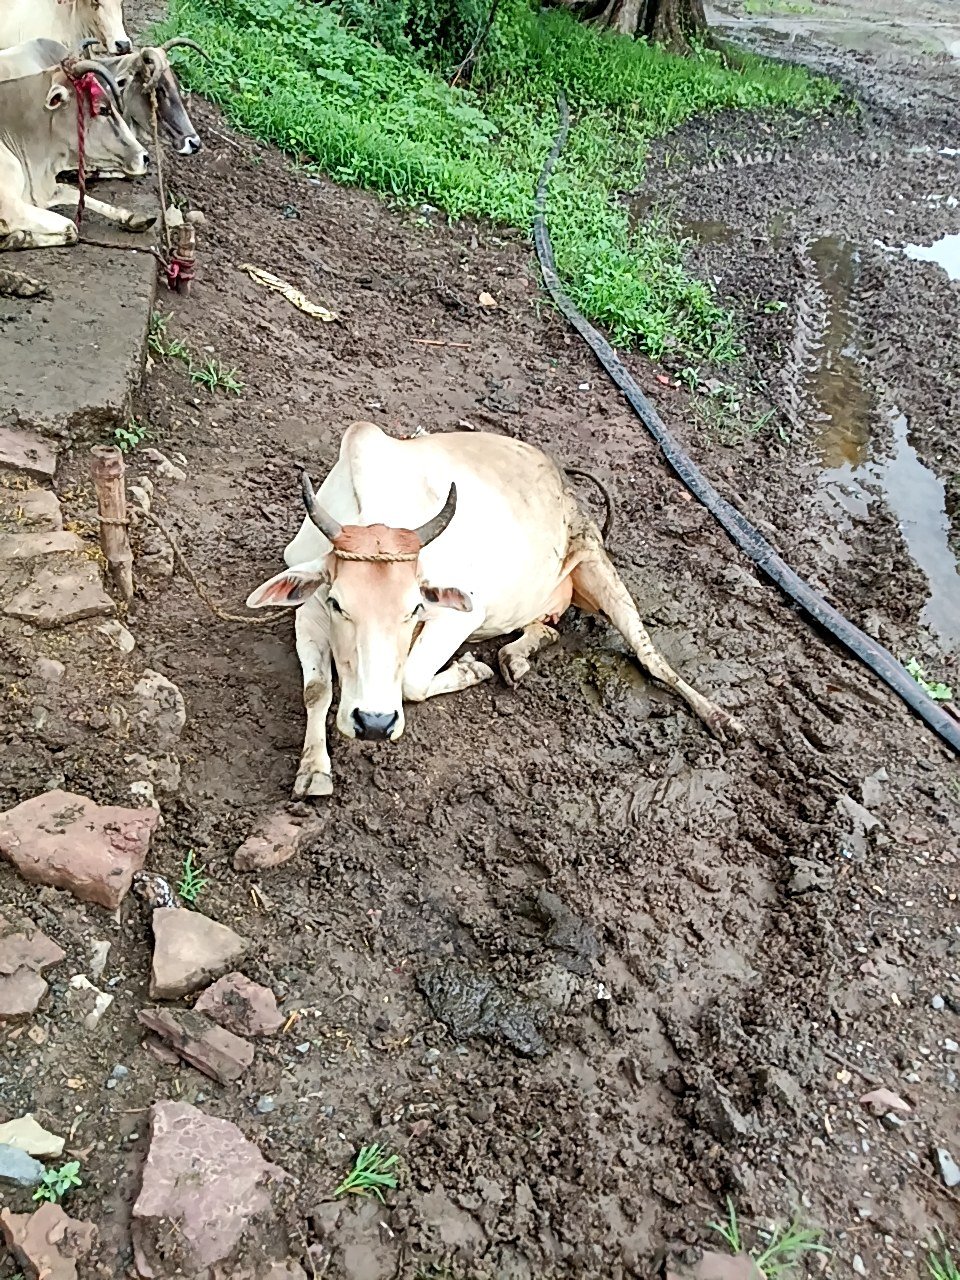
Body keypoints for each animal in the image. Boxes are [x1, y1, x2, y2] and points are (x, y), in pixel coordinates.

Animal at [0, 60, 152, 250]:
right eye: (103, 109)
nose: (145, 157)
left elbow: (72, 191)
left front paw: (131, 217)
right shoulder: (12, 209)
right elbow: (72, 228)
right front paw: (15, 238)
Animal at [245, 422, 741, 797]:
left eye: (414, 608)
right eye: (337, 604)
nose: (374, 724)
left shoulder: (461, 614)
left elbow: (411, 681)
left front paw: (470, 670)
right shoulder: (308, 609)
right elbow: (317, 690)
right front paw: (314, 770)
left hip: (595, 563)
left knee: (649, 656)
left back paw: (720, 717)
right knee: (550, 628)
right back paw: (515, 657)